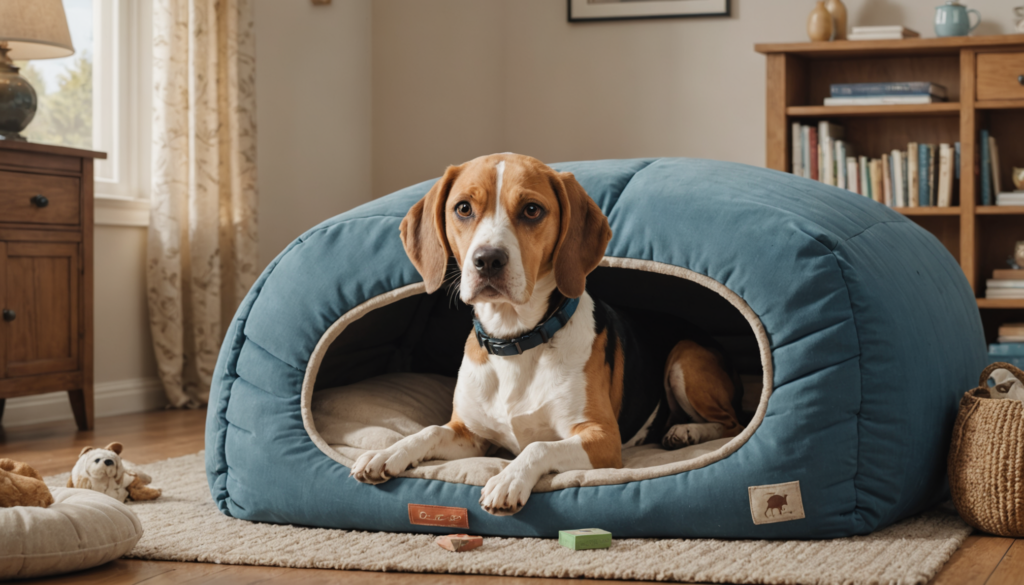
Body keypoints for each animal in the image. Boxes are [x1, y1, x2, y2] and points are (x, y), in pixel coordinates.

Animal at [354, 153, 745, 514]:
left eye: (531, 210)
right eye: (463, 208)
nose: (488, 260)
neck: (515, 341)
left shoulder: (602, 438)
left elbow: (536, 446)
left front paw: (508, 479)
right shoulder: (471, 433)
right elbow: (430, 430)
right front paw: (388, 452)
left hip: (684, 358)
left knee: (732, 424)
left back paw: (688, 431)